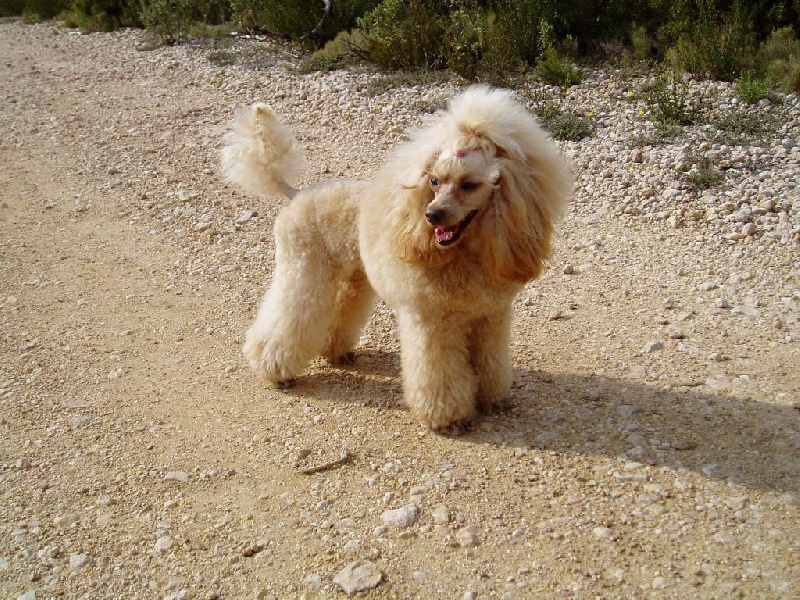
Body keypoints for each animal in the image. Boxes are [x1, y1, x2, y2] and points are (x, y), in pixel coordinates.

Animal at [222, 85, 572, 431]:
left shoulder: (490, 317)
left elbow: (491, 362)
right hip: (303, 270)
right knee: (287, 318)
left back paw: (337, 353)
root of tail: (297, 193)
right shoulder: (432, 321)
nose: (432, 216)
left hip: (353, 276)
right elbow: (438, 373)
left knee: (341, 308)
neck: (464, 255)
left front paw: (493, 399)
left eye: (469, 185)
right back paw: (275, 371)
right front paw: (449, 418)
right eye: (434, 181)